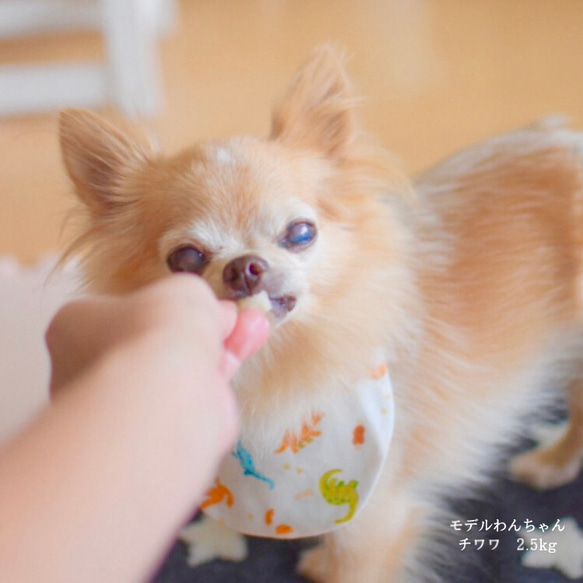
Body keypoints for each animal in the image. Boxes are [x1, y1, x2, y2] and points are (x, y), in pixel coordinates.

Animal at [58, 48, 583, 580]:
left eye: (300, 233)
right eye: (186, 258)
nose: (246, 267)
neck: (280, 364)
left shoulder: (374, 522)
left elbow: (349, 565)